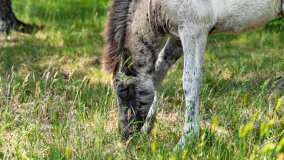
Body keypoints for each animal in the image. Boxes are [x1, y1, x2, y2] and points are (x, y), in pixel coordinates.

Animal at [102, 0, 284, 148]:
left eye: (124, 92)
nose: (126, 135)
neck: (153, 4)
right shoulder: (177, 35)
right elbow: (160, 67)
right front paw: (148, 126)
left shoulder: (194, 31)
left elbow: (191, 82)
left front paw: (186, 141)